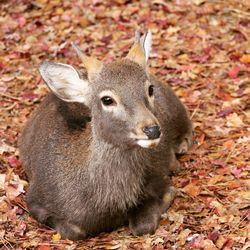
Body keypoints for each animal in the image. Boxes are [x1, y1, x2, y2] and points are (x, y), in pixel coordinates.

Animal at [18, 31, 192, 240]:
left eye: (150, 89)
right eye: (107, 99)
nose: (152, 130)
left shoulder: (156, 180)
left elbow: (143, 225)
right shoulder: (34, 199)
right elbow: (73, 231)